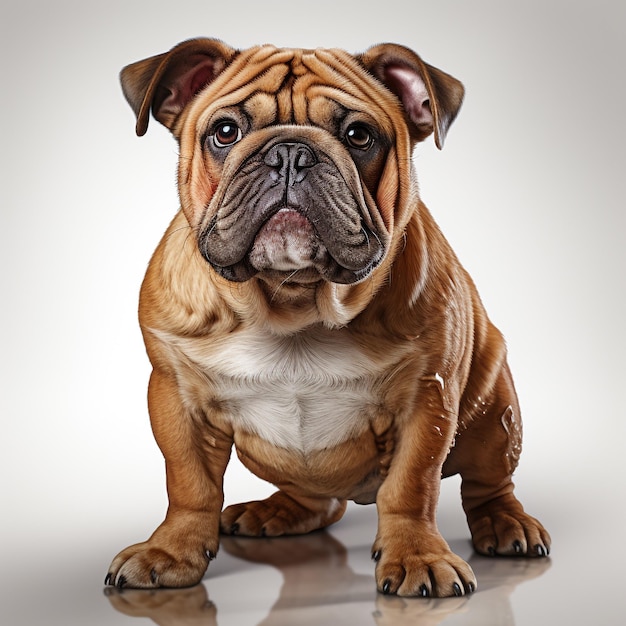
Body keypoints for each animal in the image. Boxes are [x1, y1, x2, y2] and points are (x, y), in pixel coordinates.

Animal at [105, 37, 548, 596]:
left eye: (359, 136)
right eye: (225, 132)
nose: (290, 153)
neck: (294, 303)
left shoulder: (427, 399)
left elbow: (412, 484)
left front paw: (418, 555)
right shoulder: (174, 396)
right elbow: (189, 482)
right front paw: (170, 550)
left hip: (494, 410)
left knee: (488, 482)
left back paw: (506, 522)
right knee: (319, 499)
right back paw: (275, 512)